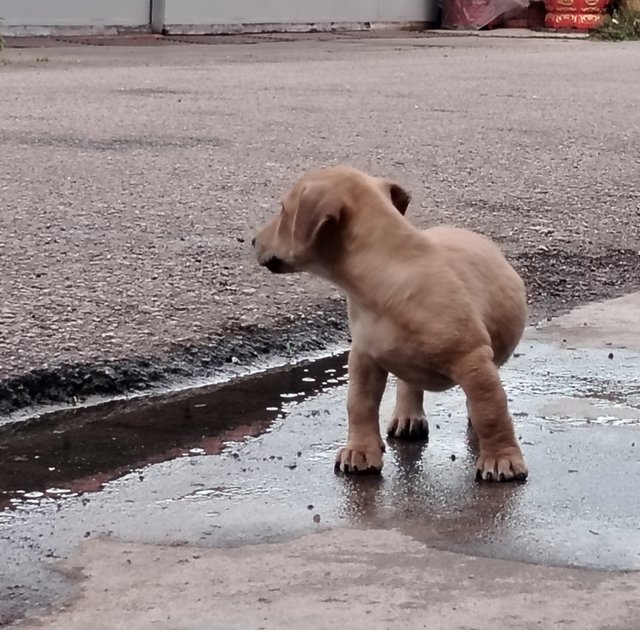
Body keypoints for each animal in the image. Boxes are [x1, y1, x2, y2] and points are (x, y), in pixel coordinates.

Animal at [252, 165, 528, 482]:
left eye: (283, 210)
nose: (252, 241)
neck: (382, 277)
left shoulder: (472, 361)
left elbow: (491, 413)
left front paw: (501, 458)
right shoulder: (364, 357)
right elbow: (359, 404)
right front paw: (360, 451)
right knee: (409, 383)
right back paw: (408, 417)